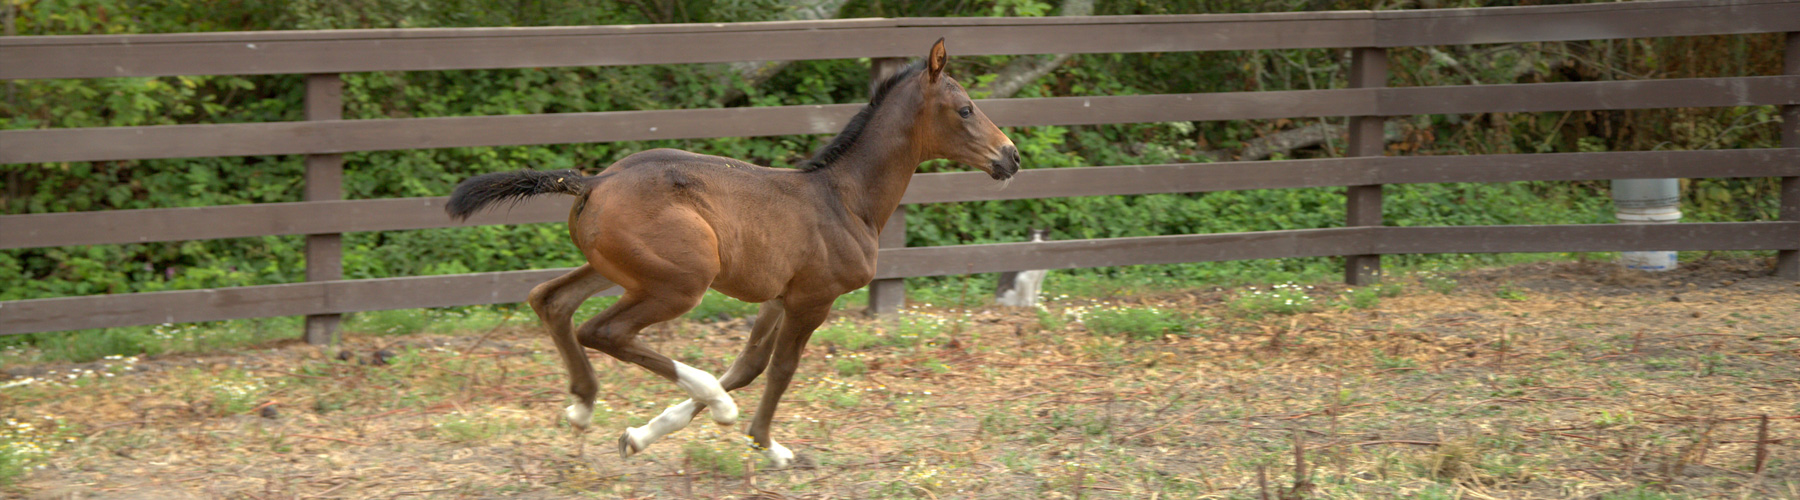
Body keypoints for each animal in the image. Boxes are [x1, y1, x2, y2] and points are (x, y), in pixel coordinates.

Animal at [444, 38, 1018, 467]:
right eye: (965, 109)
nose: (1010, 156)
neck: (845, 198)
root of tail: (594, 181)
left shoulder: (780, 297)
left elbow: (749, 365)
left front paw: (640, 436)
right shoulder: (814, 298)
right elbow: (782, 368)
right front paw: (770, 446)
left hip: (621, 270)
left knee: (552, 299)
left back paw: (583, 406)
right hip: (681, 280)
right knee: (605, 330)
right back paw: (710, 403)